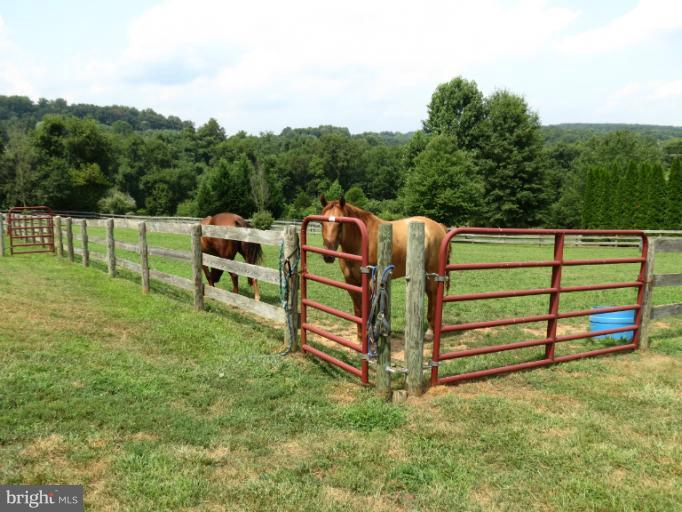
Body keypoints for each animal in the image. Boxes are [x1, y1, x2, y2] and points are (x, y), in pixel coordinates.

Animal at [318, 195, 450, 341]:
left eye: (341, 223)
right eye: (321, 223)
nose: (328, 256)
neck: (360, 242)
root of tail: (439, 226)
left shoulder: (371, 282)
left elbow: (368, 310)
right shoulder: (351, 282)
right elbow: (358, 311)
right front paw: (360, 338)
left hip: (432, 273)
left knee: (433, 296)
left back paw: (430, 332)